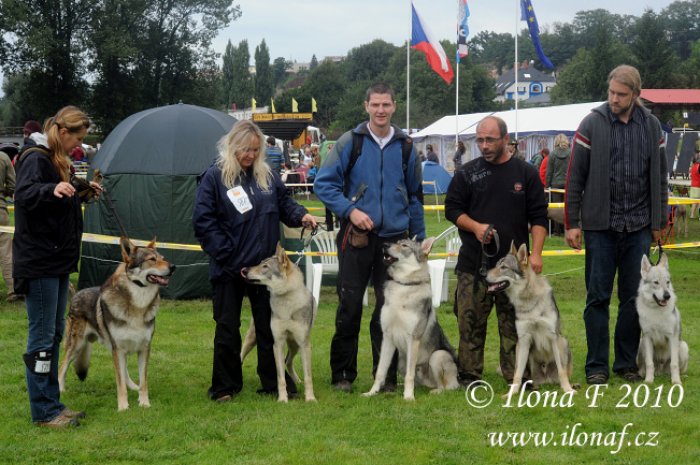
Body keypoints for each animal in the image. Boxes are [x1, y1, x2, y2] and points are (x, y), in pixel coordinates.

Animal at [58, 237, 176, 408]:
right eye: (151, 259)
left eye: (162, 258)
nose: (173, 267)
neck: (138, 305)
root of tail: (76, 293)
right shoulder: (118, 348)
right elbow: (119, 382)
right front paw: (123, 407)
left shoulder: (144, 348)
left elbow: (143, 381)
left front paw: (144, 403)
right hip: (78, 345)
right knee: (62, 366)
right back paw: (60, 389)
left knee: (126, 371)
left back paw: (134, 386)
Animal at [484, 241, 576, 396]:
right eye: (496, 265)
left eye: (503, 267)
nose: (482, 274)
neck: (528, 300)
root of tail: (546, 380)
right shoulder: (524, 339)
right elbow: (517, 374)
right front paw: (511, 393)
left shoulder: (553, 337)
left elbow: (562, 371)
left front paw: (568, 390)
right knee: (530, 379)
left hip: (563, 342)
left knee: (564, 372)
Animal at [636, 252, 688, 386]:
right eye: (656, 282)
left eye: (667, 282)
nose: (667, 296)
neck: (656, 310)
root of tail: (661, 372)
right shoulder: (647, 337)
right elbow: (649, 363)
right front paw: (648, 380)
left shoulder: (672, 337)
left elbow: (674, 364)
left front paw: (676, 381)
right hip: (641, 344)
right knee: (646, 365)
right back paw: (642, 374)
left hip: (683, 346)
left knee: (677, 368)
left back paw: (680, 376)